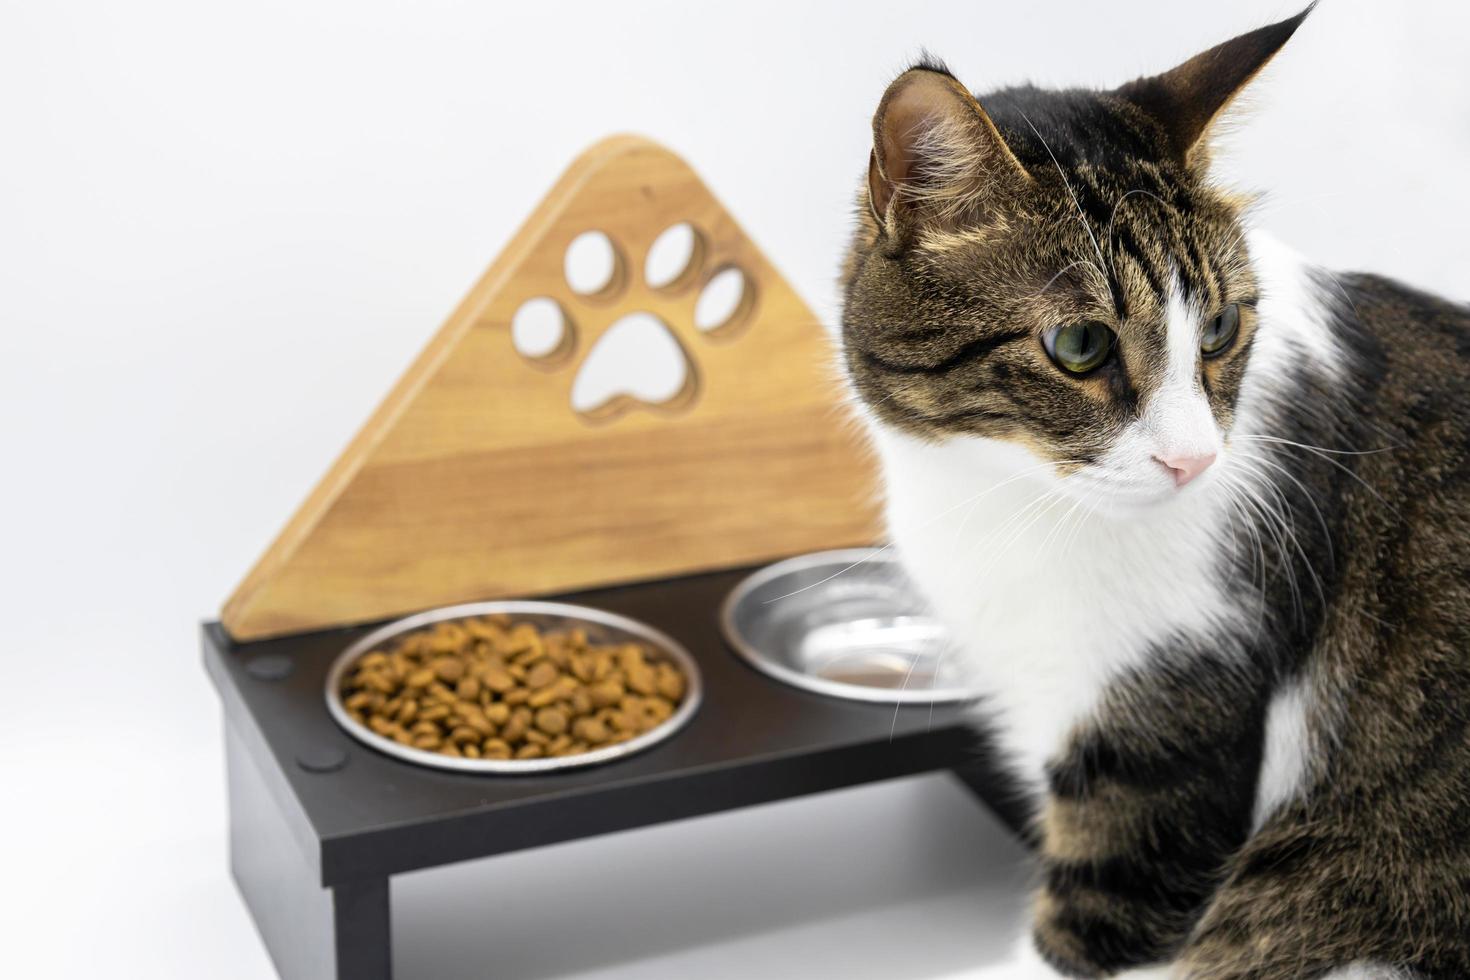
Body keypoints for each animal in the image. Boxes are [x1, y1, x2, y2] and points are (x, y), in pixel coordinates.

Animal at [840, 7, 1470, 980]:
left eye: (1220, 326)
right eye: (1079, 345)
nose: (1195, 460)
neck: (1008, 498)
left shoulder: (1173, 722)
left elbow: (1092, 915)